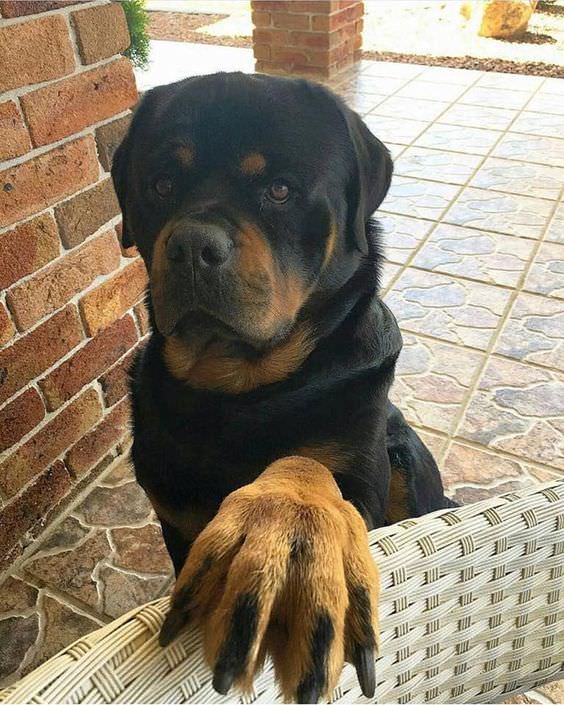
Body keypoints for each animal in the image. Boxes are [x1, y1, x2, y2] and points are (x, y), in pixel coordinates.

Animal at [112, 73, 456, 704]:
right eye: (161, 185)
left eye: (279, 190)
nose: (192, 245)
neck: (234, 393)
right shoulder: (173, 521)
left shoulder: (361, 480)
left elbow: (308, 467)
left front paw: (288, 522)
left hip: (407, 461)